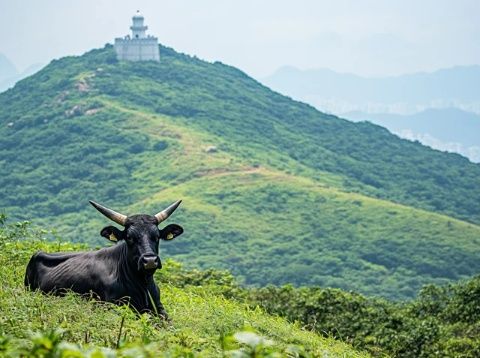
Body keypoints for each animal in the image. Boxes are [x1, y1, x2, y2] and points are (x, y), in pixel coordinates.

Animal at [23, 199, 184, 318]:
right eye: (129, 237)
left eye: (156, 236)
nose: (150, 260)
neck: (142, 284)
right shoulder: (111, 306)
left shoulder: (159, 308)